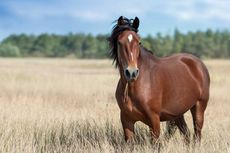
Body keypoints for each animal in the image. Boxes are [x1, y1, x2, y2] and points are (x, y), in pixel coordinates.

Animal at [108, 16, 210, 144]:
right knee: (186, 134)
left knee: (197, 133)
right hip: (178, 114)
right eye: (119, 42)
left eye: (139, 42)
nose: (131, 72)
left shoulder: (154, 120)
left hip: (199, 106)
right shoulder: (127, 120)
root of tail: (198, 63)